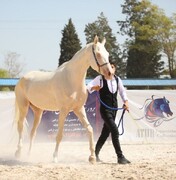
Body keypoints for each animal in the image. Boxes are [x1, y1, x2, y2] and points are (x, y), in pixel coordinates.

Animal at [13, 35, 113, 163]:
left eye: (108, 54)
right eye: (98, 54)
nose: (109, 73)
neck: (71, 79)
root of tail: (22, 79)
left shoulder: (79, 109)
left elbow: (89, 129)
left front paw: (92, 157)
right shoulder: (64, 110)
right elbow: (60, 135)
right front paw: (55, 157)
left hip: (38, 112)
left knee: (32, 132)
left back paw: (29, 155)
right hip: (23, 107)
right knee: (20, 127)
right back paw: (18, 153)